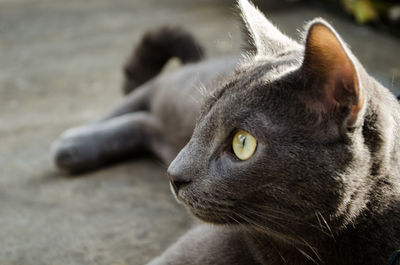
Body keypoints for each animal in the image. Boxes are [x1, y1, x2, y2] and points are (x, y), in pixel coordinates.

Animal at [52, 0, 400, 264]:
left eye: (242, 143)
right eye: (202, 118)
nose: (173, 176)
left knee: (147, 122)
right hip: (180, 91)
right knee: (146, 92)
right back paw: (69, 144)